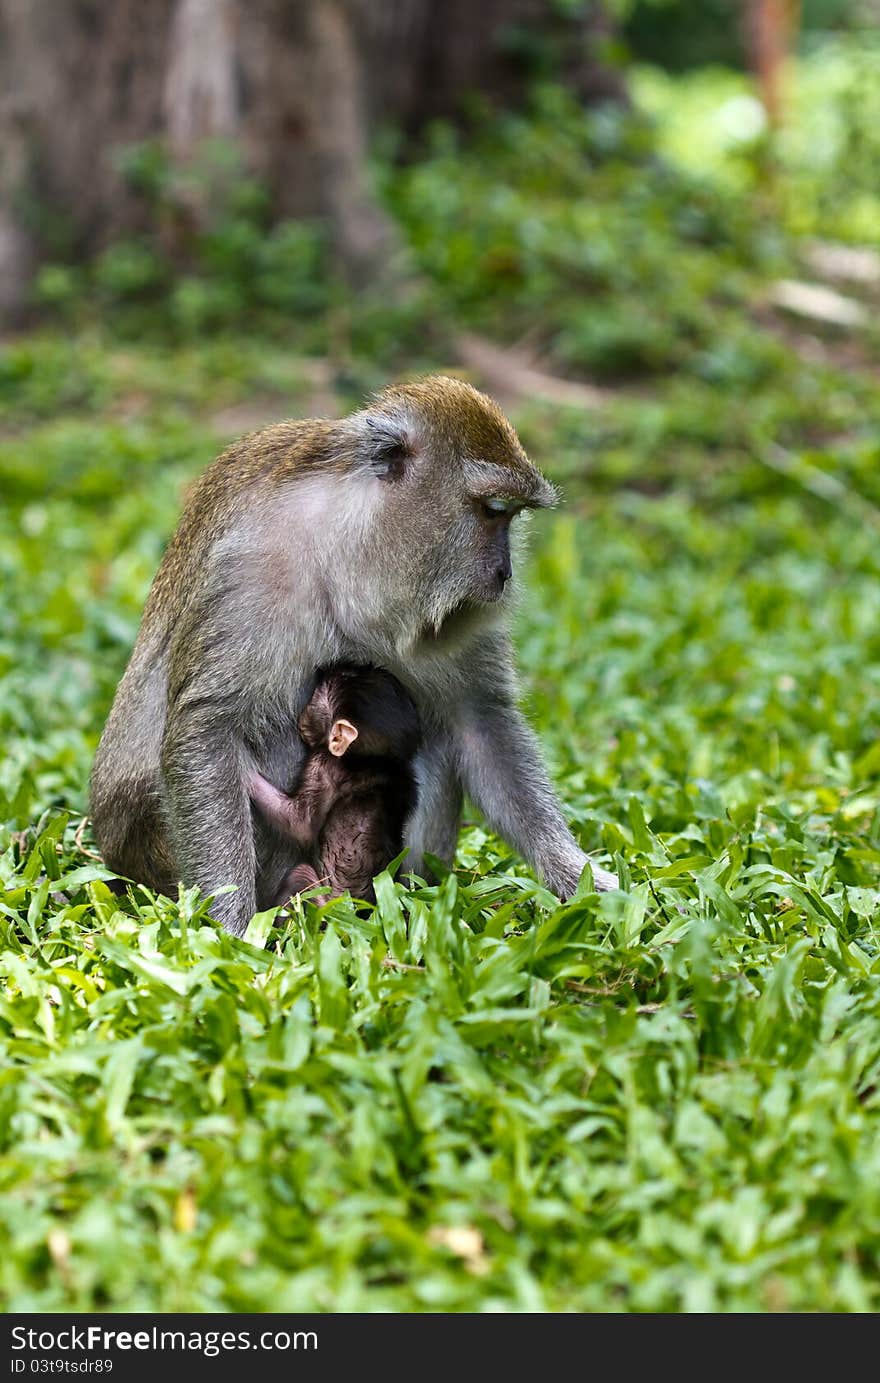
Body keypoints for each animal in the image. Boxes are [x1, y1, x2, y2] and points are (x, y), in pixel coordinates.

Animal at [249, 666, 420, 907]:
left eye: (315, 700)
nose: (302, 715)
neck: (378, 762)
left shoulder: (324, 764)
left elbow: (300, 824)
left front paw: (245, 772)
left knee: (301, 875)